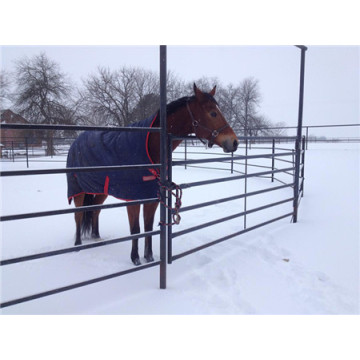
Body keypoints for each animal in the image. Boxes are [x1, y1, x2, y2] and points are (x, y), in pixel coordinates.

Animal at [67, 83, 239, 264]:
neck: (150, 147)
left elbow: (148, 226)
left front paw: (149, 257)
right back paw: (78, 244)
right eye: (213, 113)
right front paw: (135, 259)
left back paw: (96, 237)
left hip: (101, 190)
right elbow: (136, 229)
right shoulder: (133, 199)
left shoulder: (152, 197)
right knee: (78, 214)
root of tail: (75, 142)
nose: (234, 142)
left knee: (95, 210)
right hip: (78, 190)